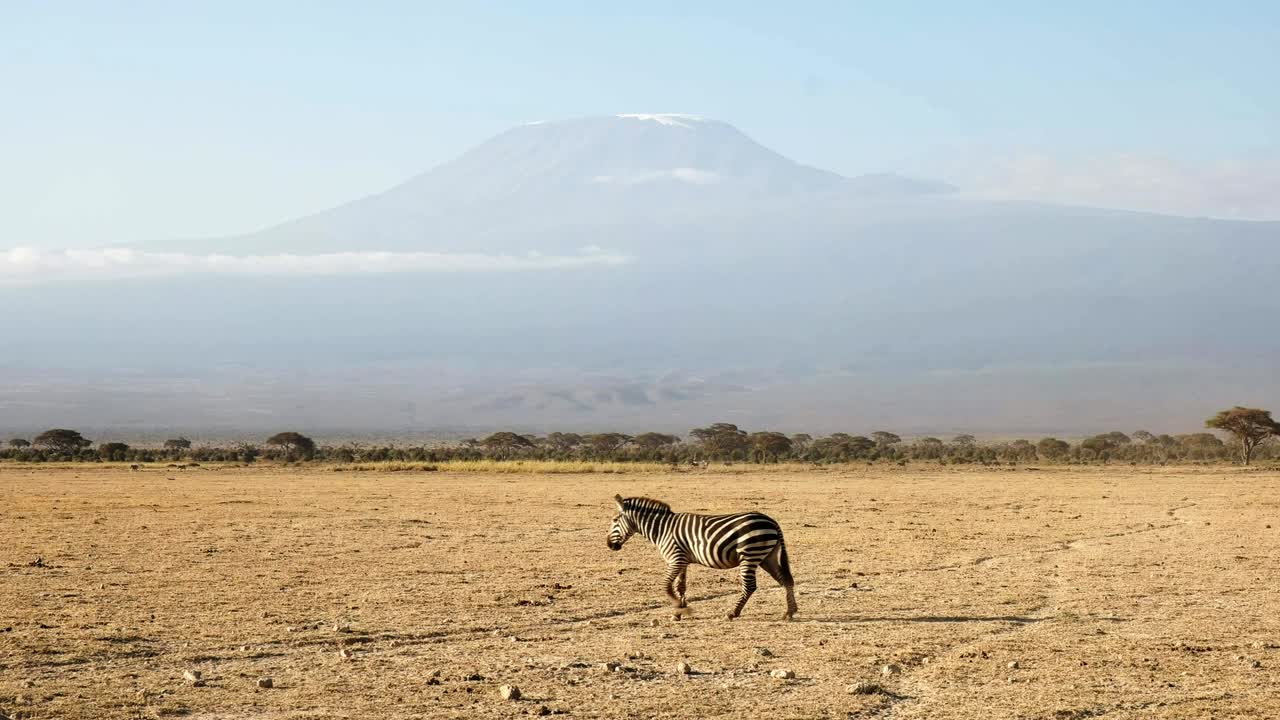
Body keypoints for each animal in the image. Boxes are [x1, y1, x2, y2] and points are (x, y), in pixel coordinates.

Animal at [607, 494, 797, 620]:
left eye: (615, 520)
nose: (609, 545)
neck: (662, 529)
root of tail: (772, 521)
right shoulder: (683, 560)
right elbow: (680, 587)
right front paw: (679, 612)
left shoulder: (675, 559)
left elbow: (666, 585)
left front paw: (680, 609)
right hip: (767, 557)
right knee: (785, 580)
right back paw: (790, 612)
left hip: (750, 554)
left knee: (750, 586)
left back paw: (733, 613)